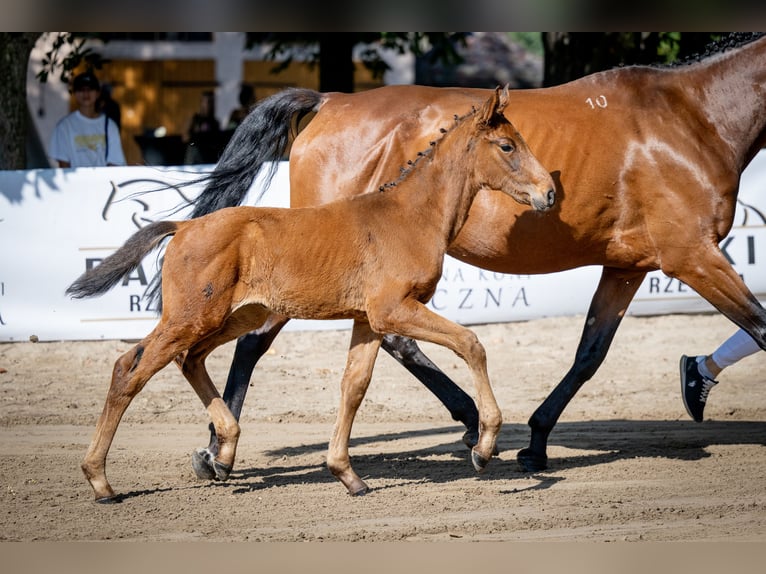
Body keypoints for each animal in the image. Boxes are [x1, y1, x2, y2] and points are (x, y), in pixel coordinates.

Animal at [69, 86, 556, 504]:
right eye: (507, 146)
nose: (549, 193)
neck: (409, 215)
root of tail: (184, 227)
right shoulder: (393, 310)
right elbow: (471, 344)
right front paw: (484, 447)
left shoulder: (368, 320)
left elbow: (354, 386)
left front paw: (347, 474)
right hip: (191, 316)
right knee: (129, 368)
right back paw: (101, 481)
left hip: (237, 315)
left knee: (190, 359)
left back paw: (223, 450)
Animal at [186, 33, 766, 480]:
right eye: (507, 146)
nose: (549, 193)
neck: (691, 119)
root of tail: (330, 100)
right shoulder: (692, 256)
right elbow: (761, 326)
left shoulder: (627, 266)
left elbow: (589, 354)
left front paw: (536, 442)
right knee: (261, 342)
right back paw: (219, 451)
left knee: (384, 339)